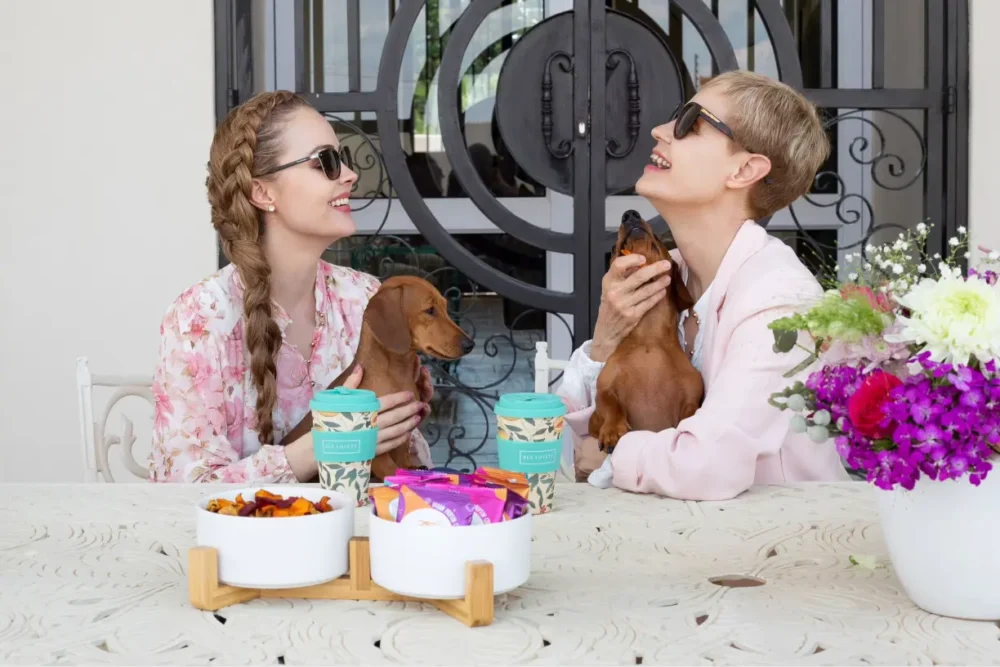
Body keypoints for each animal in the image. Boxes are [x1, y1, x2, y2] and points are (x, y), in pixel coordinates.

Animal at [278, 276, 472, 480]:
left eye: (445, 307)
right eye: (430, 310)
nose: (470, 344)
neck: (396, 375)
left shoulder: (402, 437)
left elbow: (403, 462)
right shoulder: (379, 453)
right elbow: (392, 470)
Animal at [584, 213, 704, 454]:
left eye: (657, 236)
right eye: (614, 248)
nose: (630, 214)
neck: (648, 339)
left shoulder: (692, 397)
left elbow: (689, 413)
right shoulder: (603, 389)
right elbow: (610, 405)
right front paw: (612, 430)